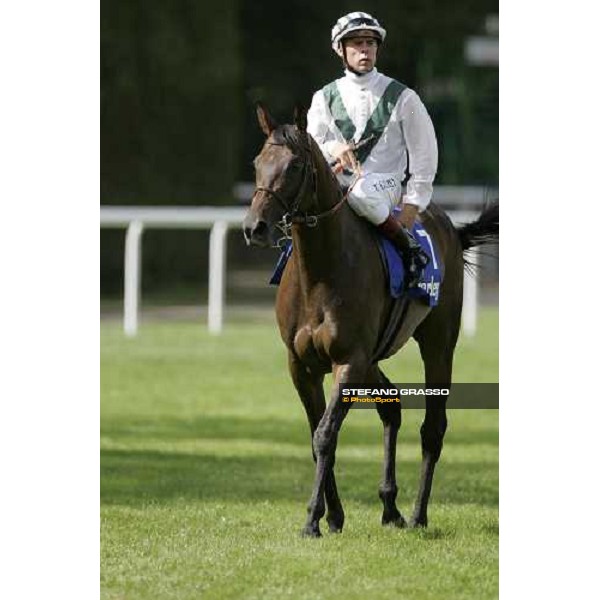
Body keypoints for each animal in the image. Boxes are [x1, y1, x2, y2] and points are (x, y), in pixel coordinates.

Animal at [241, 103, 500, 540]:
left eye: (294, 166)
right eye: (258, 162)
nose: (254, 227)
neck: (320, 271)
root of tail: (449, 227)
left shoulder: (348, 360)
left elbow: (326, 434)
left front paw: (312, 519)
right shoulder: (302, 365)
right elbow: (316, 437)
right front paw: (333, 516)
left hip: (438, 344)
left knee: (433, 427)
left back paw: (417, 514)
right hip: (374, 358)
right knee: (391, 404)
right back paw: (389, 507)